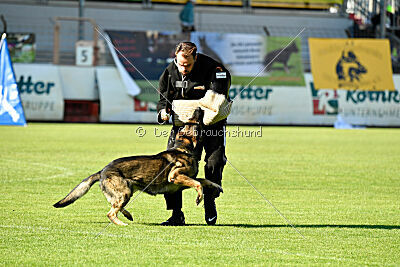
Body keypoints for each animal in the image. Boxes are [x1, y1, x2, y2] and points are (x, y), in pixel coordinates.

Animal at [52, 109, 222, 226]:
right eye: (194, 122)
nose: (199, 108)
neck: (184, 149)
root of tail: (103, 170)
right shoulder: (175, 176)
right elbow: (198, 183)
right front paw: (199, 198)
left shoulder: (184, 180)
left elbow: (204, 180)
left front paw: (217, 186)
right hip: (125, 192)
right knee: (111, 213)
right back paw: (122, 223)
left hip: (127, 191)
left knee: (114, 205)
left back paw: (127, 215)